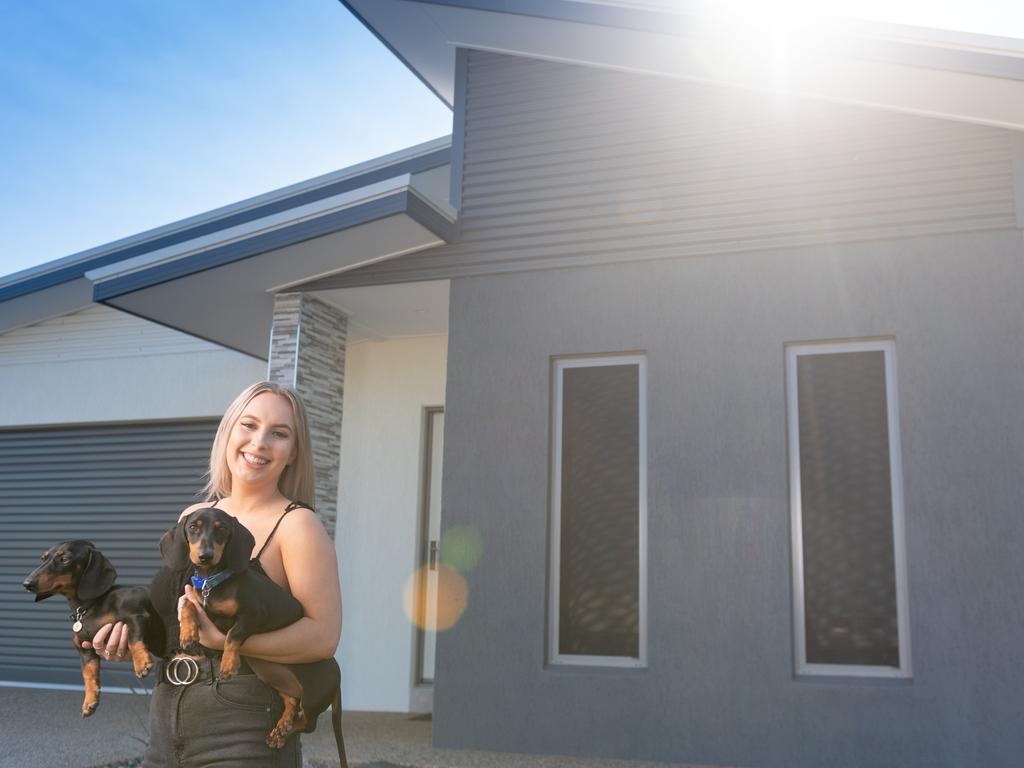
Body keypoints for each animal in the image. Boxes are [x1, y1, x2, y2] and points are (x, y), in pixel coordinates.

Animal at [23, 544, 161, 720]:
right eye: (43, 558)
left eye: (64, 559)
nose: (27, 584)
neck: (89, 607)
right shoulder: (85, 650)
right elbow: (89, 675)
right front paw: (89, 701)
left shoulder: (136, 616)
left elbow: (134, 638)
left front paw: (142, 663)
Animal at [153, 507, 348, 761]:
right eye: (193, 527)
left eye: (221, 529)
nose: (205, 556)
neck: (211, 581)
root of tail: (337, 673)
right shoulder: (194, 600)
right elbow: (187, 605)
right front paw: (187, 634)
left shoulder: (255, 615)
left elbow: (233, 633)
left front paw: (228, 664)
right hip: (273, 675)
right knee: (292, 701)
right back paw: (280, 728)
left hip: (314, 695)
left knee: (308, 723)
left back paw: (282, 733)